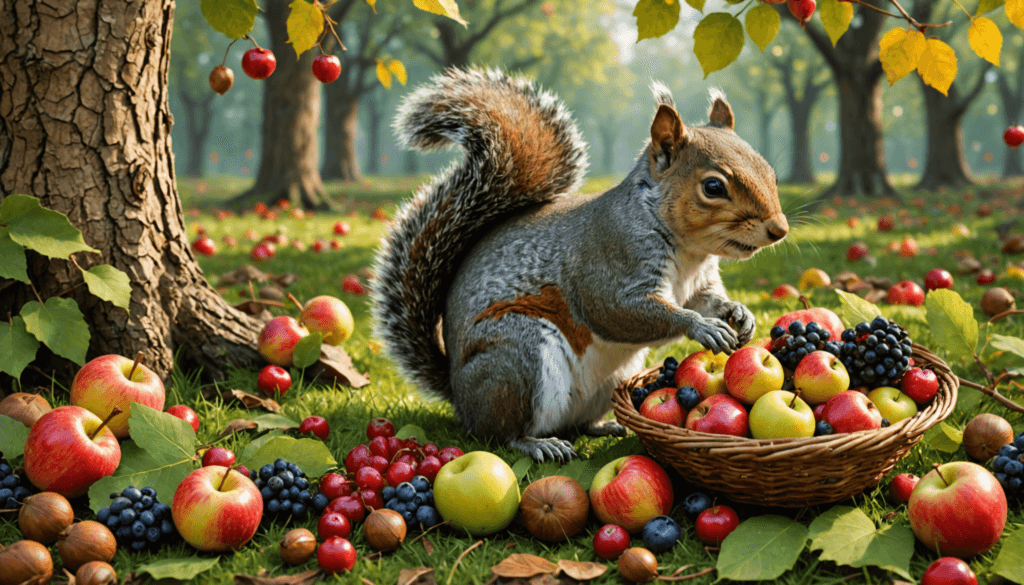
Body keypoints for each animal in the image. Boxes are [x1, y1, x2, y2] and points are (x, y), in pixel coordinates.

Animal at [372, 67, 788, 462]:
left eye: (769, 170)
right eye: (713, 187)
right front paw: (702, 327)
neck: (689, 252)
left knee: (577, 423)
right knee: (499, 434)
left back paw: (604, 426)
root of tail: (458, 395)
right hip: (517, 358)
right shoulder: (608, 264)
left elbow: (707, 300)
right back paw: (537, 445)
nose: (779, 230)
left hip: (612, 377)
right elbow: (619, 309)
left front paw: (739, 313)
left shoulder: (699, 283)